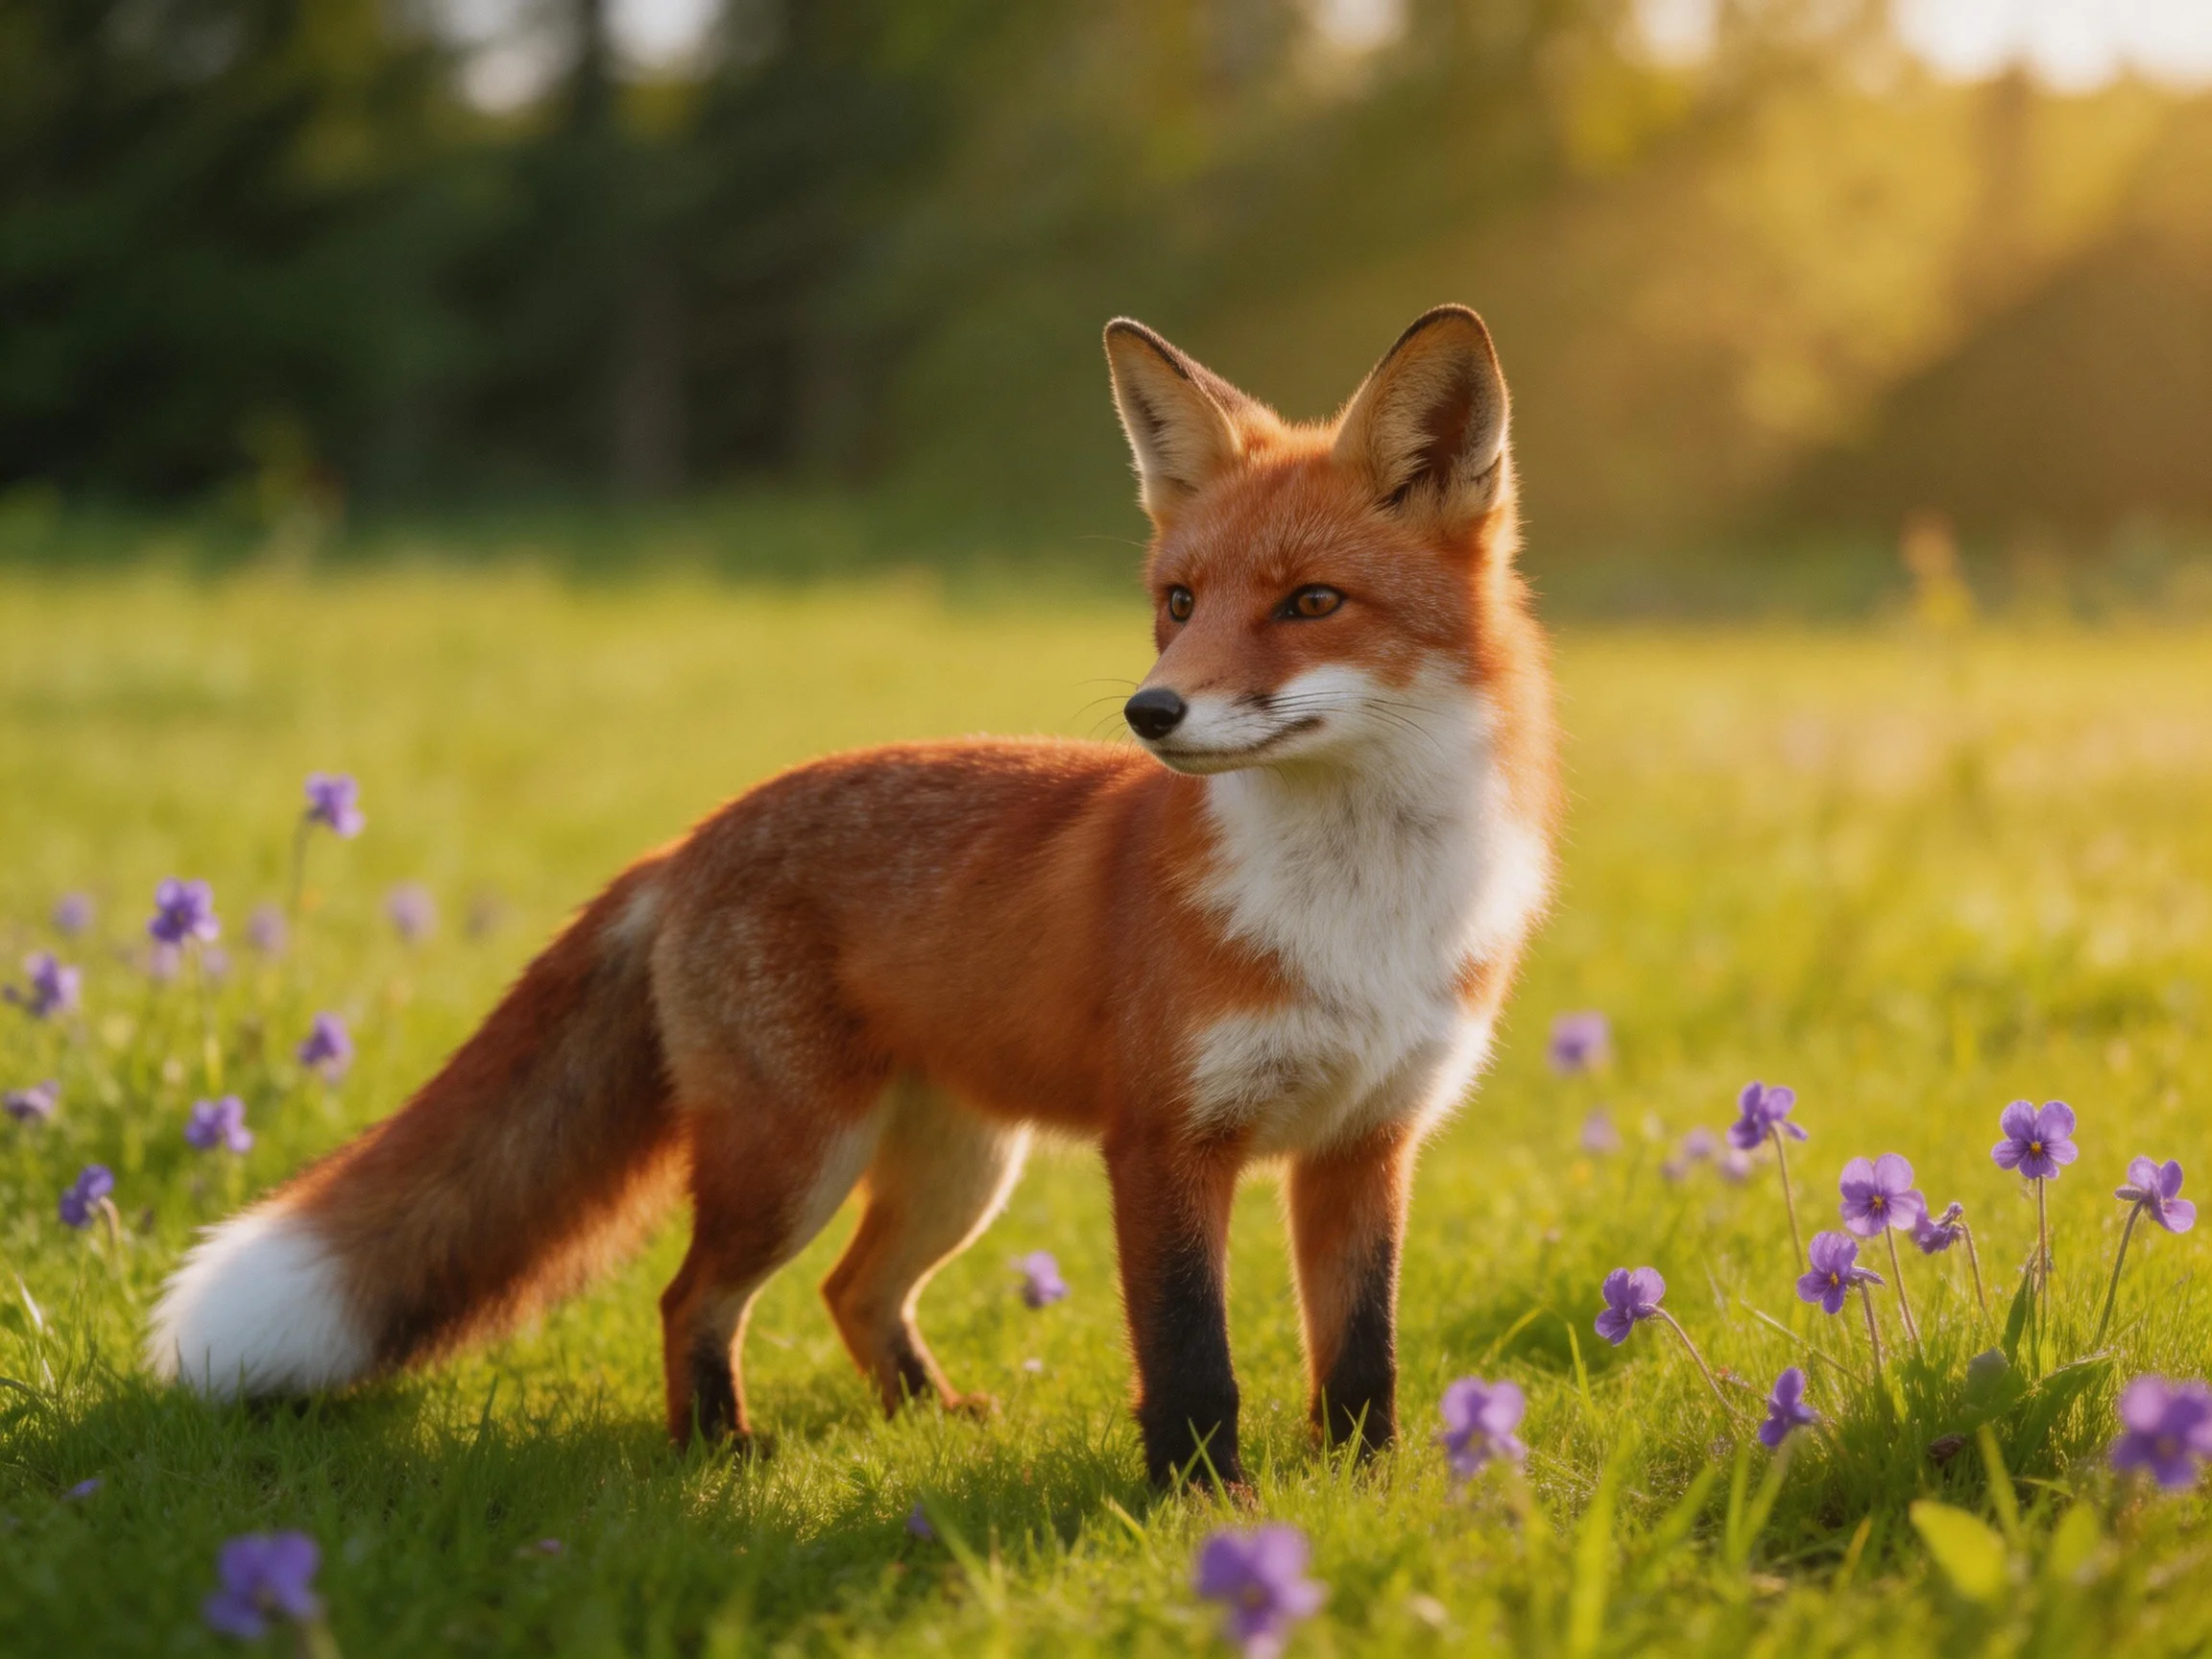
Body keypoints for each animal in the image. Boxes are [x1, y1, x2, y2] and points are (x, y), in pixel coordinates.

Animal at [146, 305, 1558, 1490]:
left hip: (956, 1172)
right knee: (695, 1299)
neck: (1357, 909)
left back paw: (930, 1419)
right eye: (1178, 601)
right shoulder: (1167, 1146)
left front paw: (1362, 1491)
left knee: (854, 1293)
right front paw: (1206, 1510)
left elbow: (1361, 1360)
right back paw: (720, 1453)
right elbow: (1191, 1364)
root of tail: (691, 837)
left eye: (1312, 602)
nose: (1150, 713)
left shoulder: (1365, 1144)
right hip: (796, 1159)